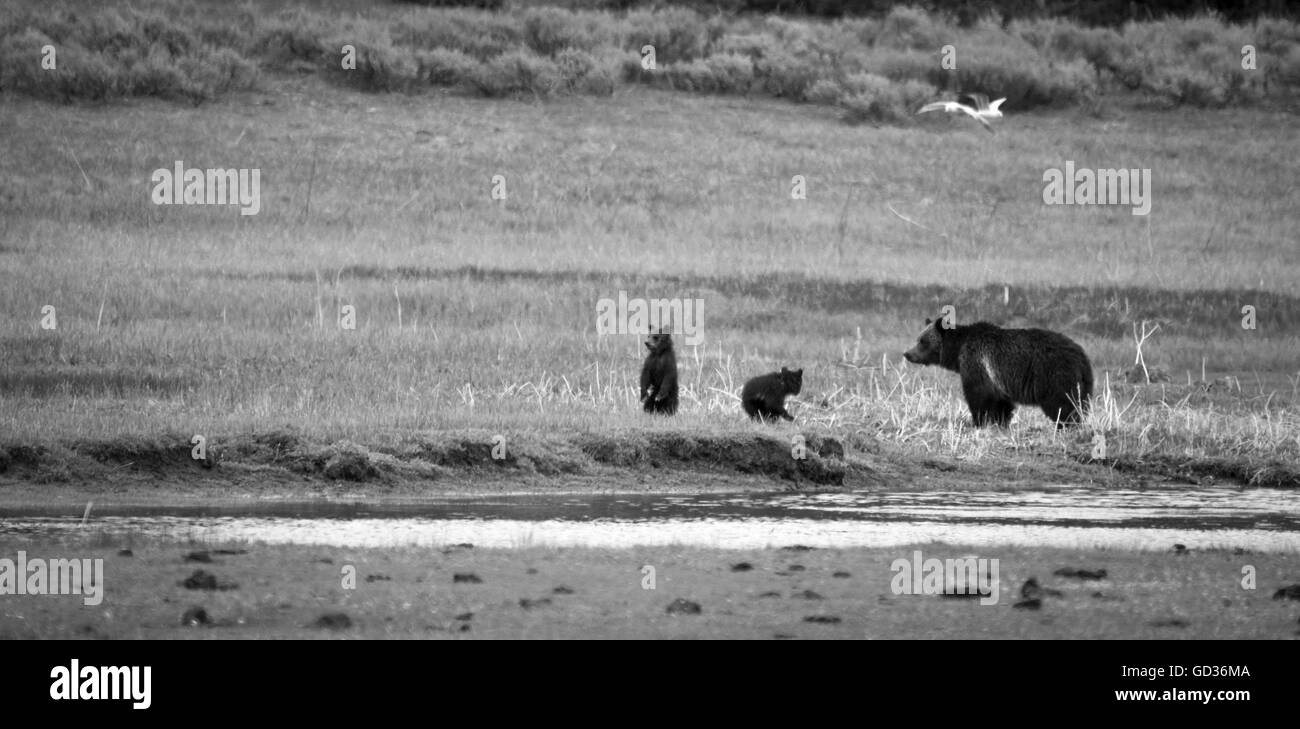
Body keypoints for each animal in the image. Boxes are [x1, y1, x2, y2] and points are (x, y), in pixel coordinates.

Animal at [902, 316, 1092, 428]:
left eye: (922, 341)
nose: (907, 354)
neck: (958, 350)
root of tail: (1081, 355)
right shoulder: (997, 378)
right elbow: (1002, 402)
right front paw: (1000, 423)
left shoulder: (977, 363)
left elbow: (979, 396)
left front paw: (979, 422)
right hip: (1081, 382)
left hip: (1054, 375)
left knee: (1063, 404)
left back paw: (1066, 425)